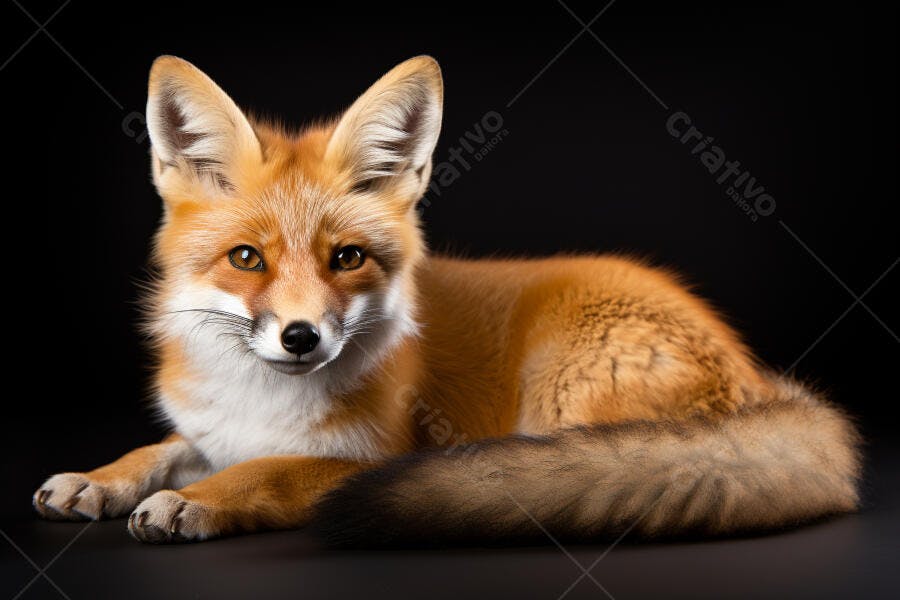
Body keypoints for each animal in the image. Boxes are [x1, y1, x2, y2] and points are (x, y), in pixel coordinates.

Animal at [32, 55, 861, 545]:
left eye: (347, 258)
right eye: (247, 259)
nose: (301, 337)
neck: (261, 404)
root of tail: (755, 377)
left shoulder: (374, 456)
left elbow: (260, 473)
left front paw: (198, 499)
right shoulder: (209, 428)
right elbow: (158, 450)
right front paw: (97, 479)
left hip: (561, 394)